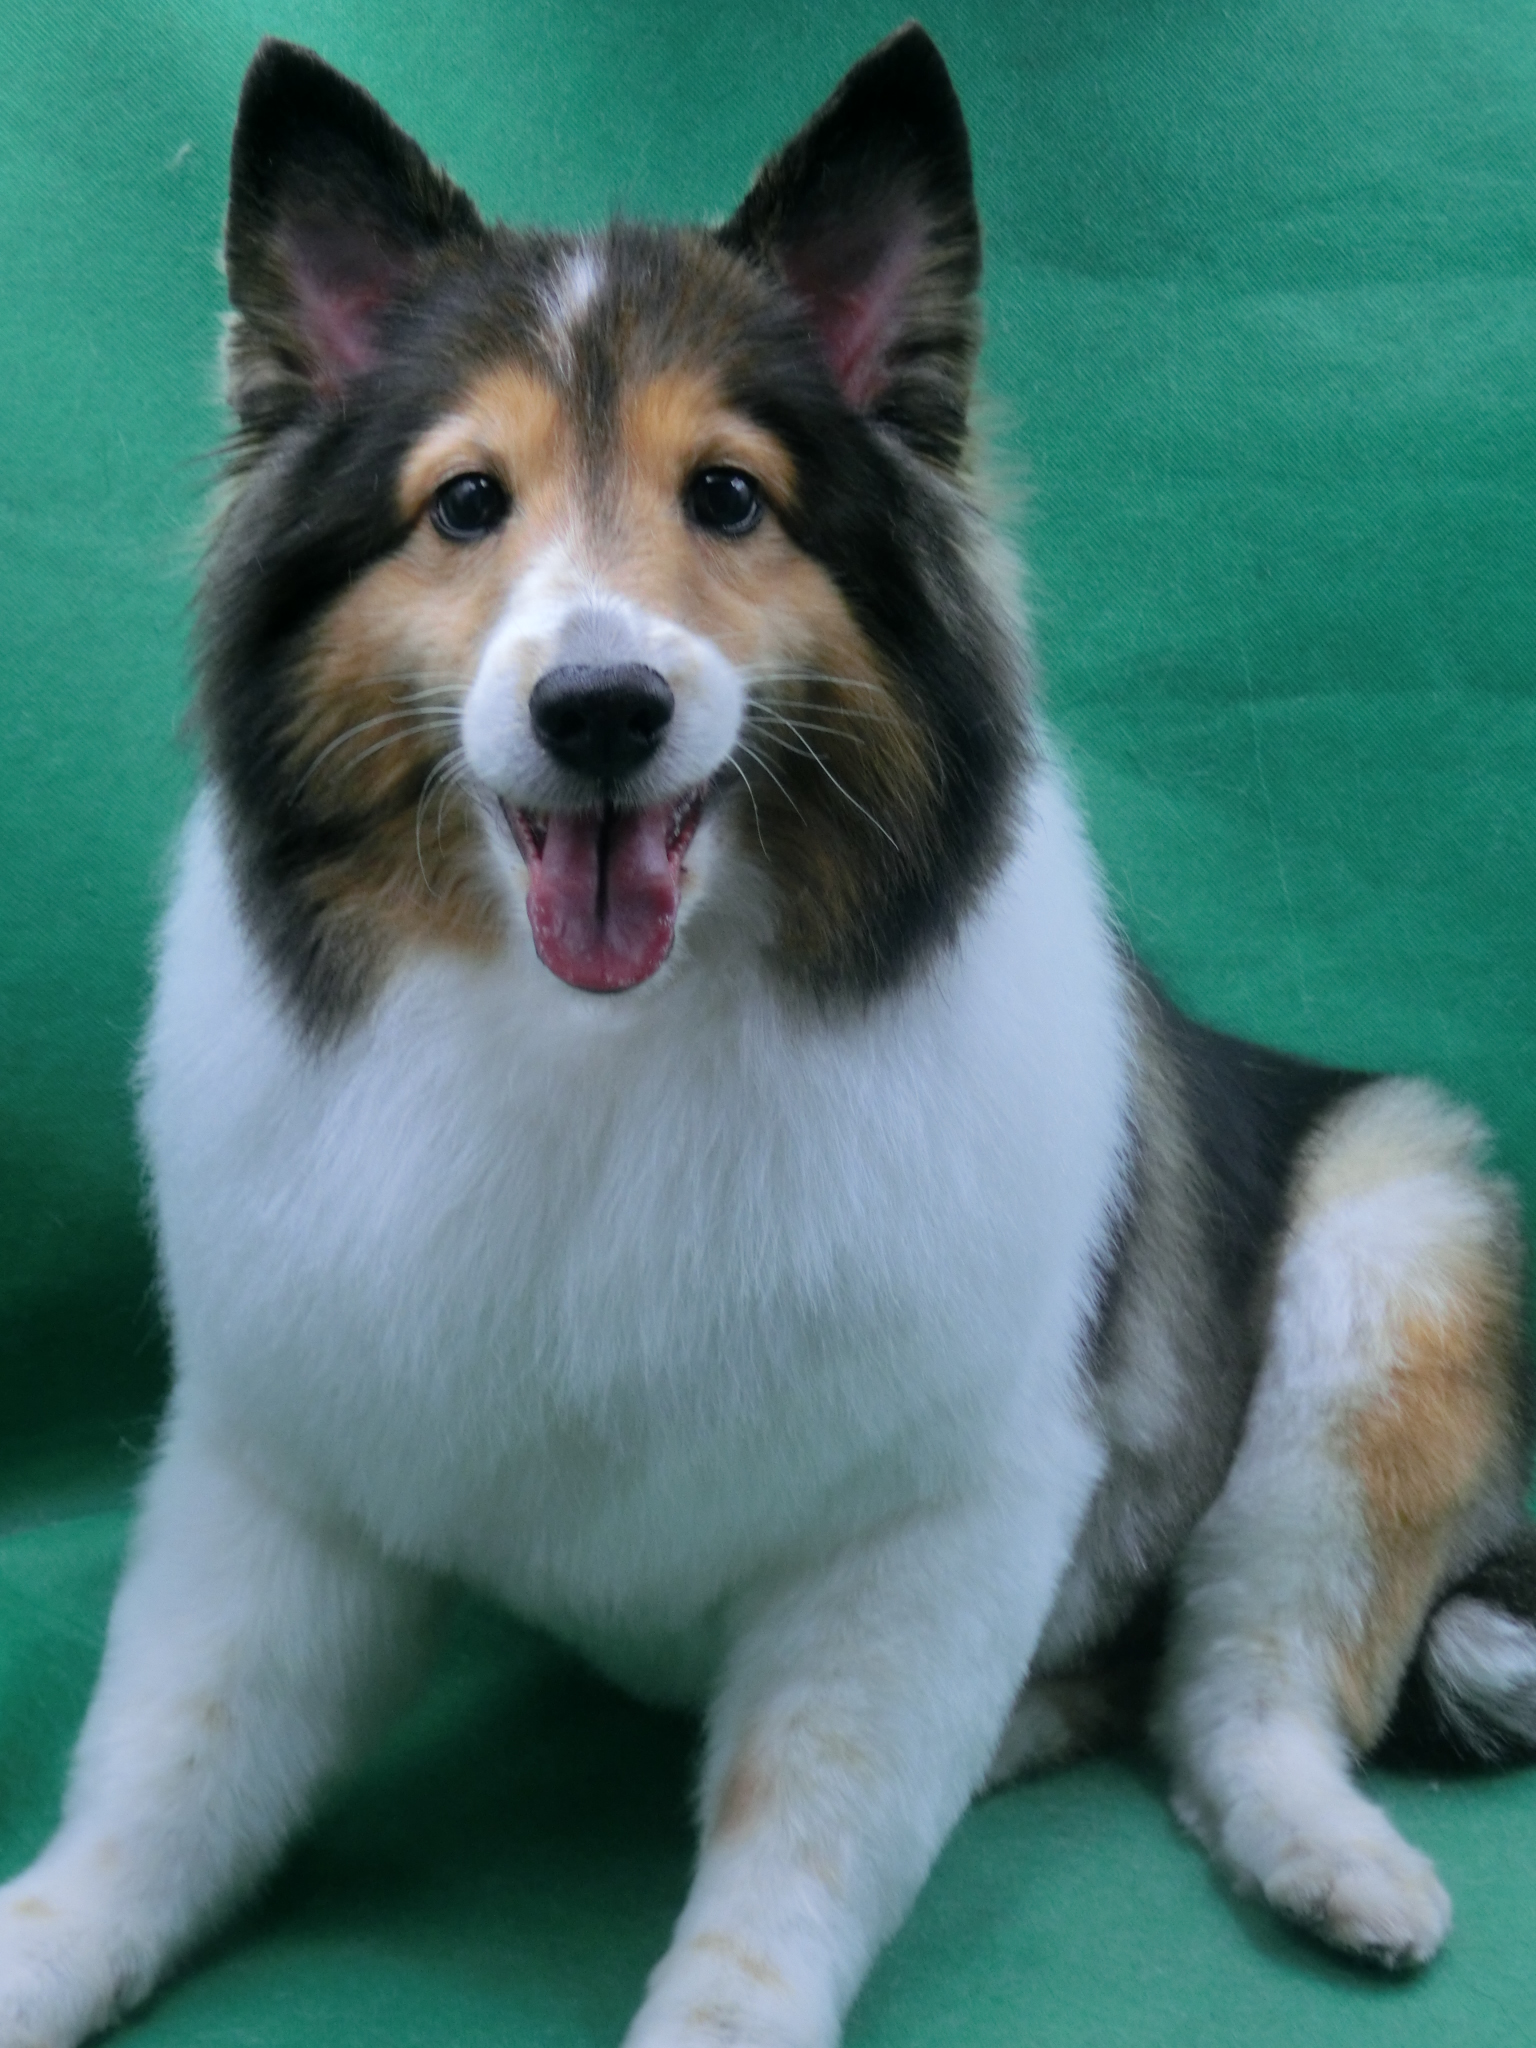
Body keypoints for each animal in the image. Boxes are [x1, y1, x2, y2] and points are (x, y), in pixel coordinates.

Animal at [2, 24, 1533, 2047]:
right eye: (466, 502)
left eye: (729, 497)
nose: (599, 708)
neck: (600, 1052)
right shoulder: (287, 1468)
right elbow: (168, 1773)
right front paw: (43, 1945)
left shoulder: (923, 1523)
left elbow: (799, 1828)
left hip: (1390, 1253)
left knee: (1244, 1682)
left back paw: (1330, 1858)